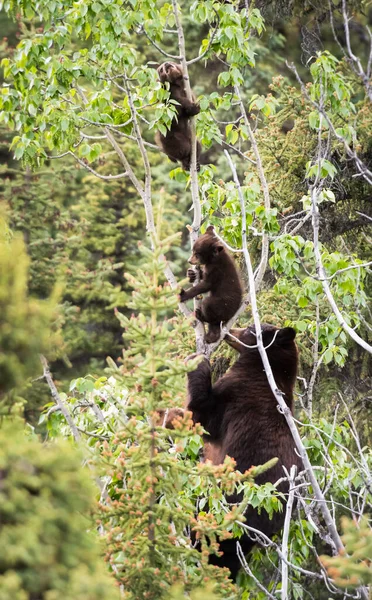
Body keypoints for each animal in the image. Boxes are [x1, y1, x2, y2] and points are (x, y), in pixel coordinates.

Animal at [187, 324, 304, 580]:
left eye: (251, 329)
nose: (228, 330)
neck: (266, 371)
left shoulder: (236, 396)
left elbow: (203, 416)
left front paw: (197, 361)